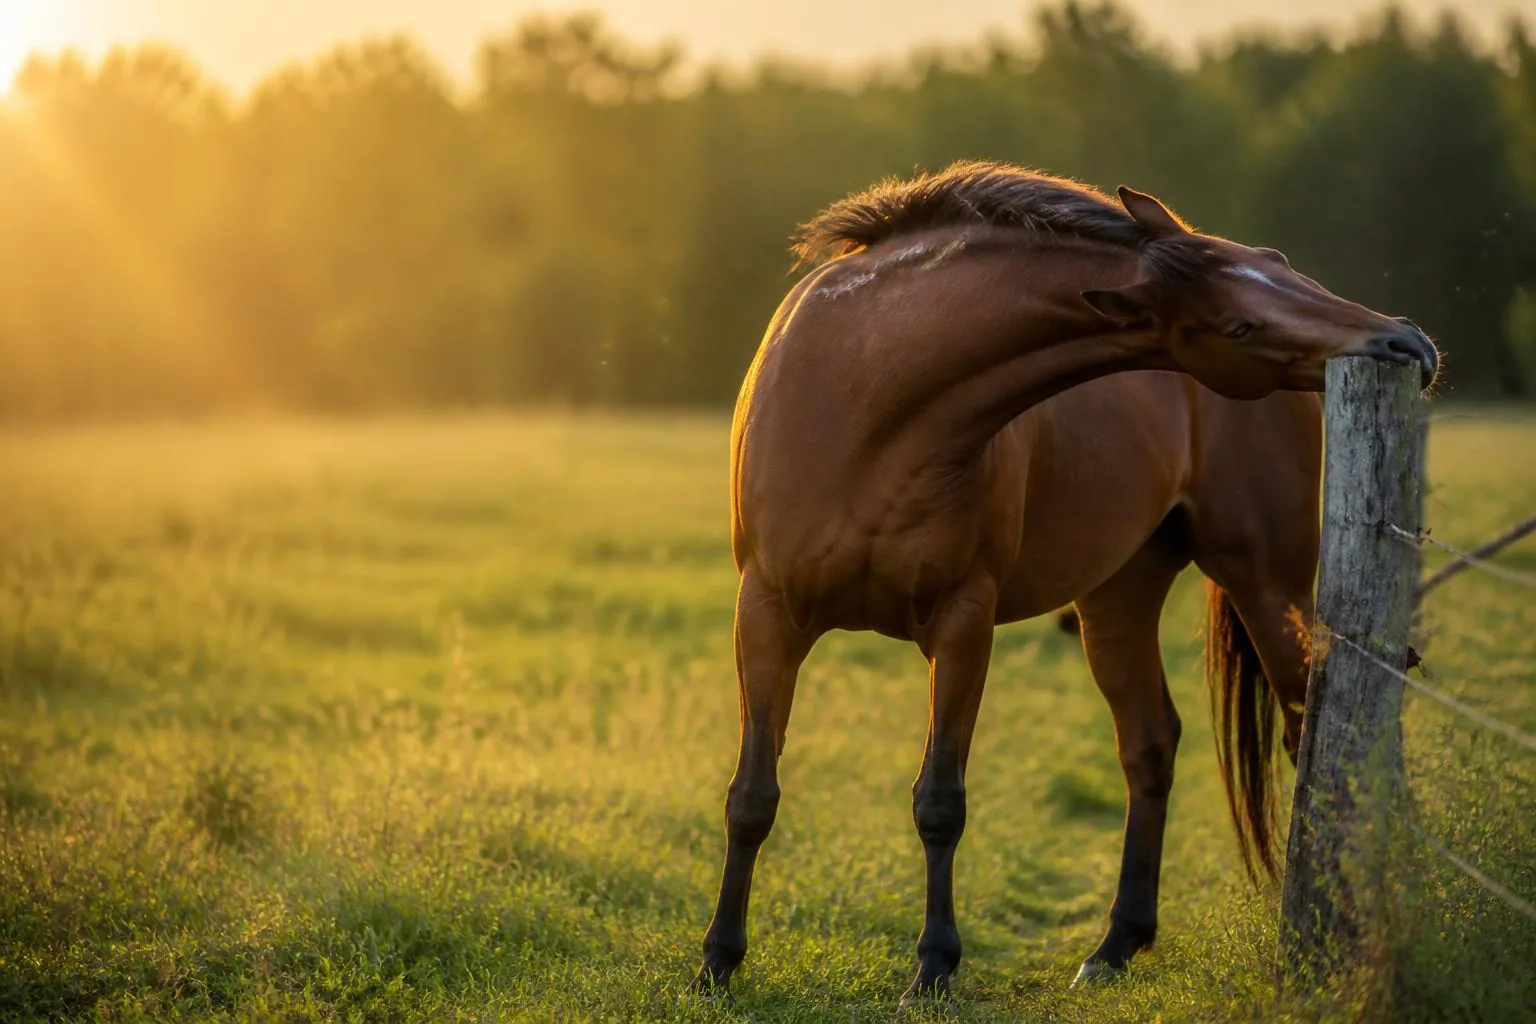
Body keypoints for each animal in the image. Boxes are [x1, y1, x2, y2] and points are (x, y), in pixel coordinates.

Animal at [687, 162, 1439, 1006]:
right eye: (1237, 325)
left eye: (1276, 261)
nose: (1405, 342)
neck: (863, 400)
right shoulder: (766, 616)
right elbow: (751, 795)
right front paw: (717, 962)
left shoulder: (962, 621)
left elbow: (939, 801)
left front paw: (934, 966)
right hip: (1119, 598)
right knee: (1151, 743)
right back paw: (1115, 946)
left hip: (1265, 581)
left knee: (1312, 724)